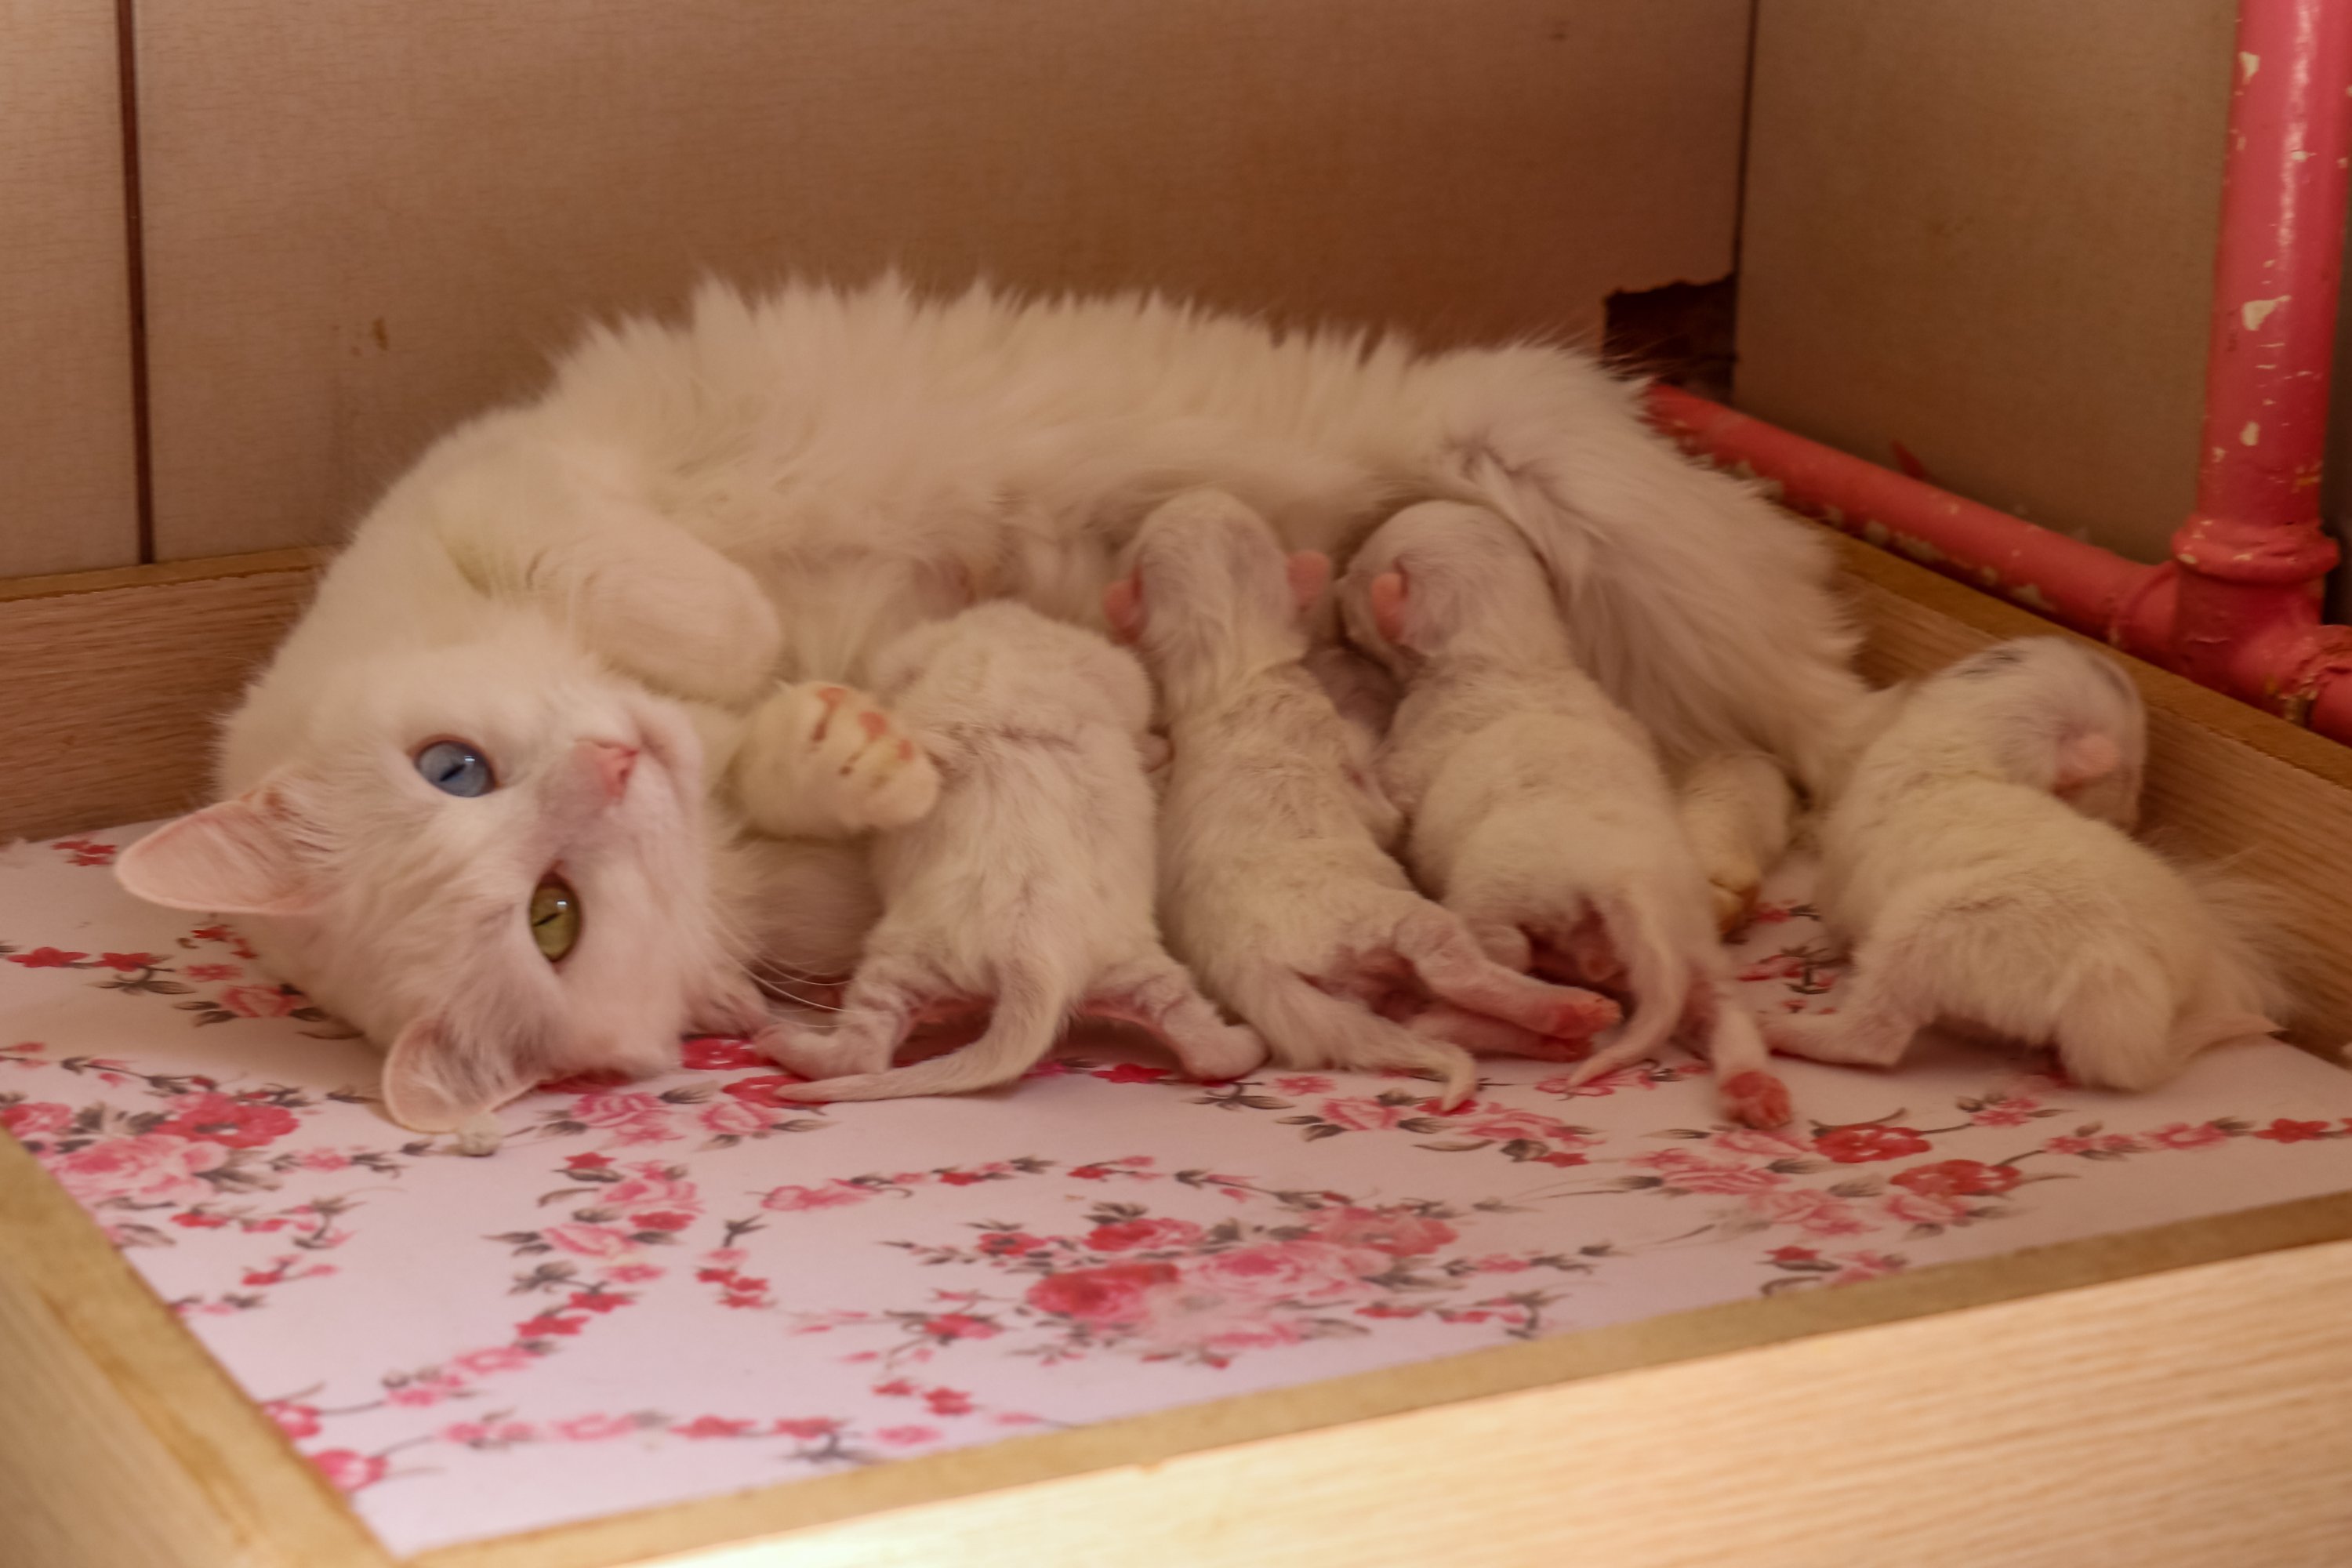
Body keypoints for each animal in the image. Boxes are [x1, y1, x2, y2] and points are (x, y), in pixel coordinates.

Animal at [762, 601, 1261, 1105]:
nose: (1002, 607)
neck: (1004, 660)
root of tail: (1032, 963)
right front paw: (1158, 748)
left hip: (926, 961)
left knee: (861, 1049)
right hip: (1123, 964)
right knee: (1198, 1038)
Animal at [1110, 484, 1628, 1109]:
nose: (1200, 491)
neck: (1230, 671)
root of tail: (1260, 979)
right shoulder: (1330, 742)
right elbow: (1381, 813)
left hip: (1371, 991)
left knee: (1426, 1017)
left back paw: (1553, 1036)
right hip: (1381, 922)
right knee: (1449, 966)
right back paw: (1569, 1009)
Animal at [1336, 503, 1788, 1128]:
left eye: (1359, 571)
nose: (1335, 585)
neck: (1512, 650)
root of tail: (1623, 882)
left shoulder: (1414, 740)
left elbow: (1391, 799)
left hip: (1499, 900)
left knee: (1498, 963)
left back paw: (1487, 1016)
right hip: (1686, 934)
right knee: (1714, 1001)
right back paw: (1750, 1083)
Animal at [1769, 639, 2286, 1091]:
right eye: (2133, 776)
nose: (2133, 819)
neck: (1954, 734)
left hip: (1924, 931)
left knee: (1874, 1040)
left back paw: (1779, 1029)